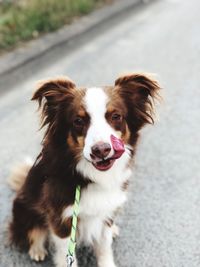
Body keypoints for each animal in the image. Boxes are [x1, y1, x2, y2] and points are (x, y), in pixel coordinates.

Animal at [8, 72, 161, 266]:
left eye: (116, 116)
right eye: (78, 121)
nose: (101, 150)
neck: (90, 177)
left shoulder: (105, 211)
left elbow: (104, 247)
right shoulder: (61, 221)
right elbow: (66, 256)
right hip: (23, 208)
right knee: (32, 230)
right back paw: (37, 249)